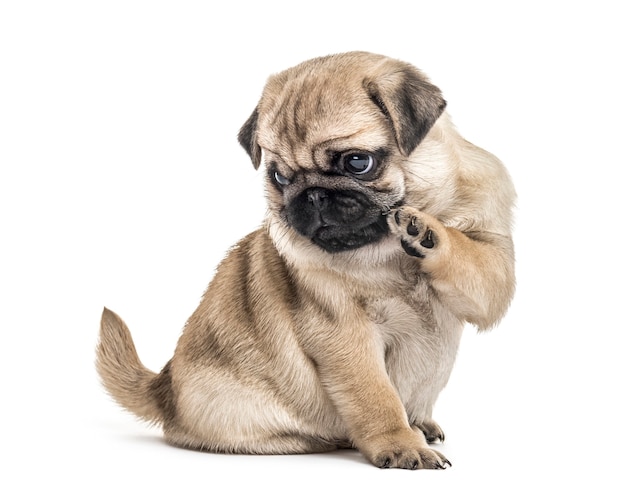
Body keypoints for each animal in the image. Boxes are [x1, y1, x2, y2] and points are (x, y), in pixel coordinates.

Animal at [97, 52, 516, 470]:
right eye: (279, 177)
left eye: (358, 163)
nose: (312, 195)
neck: (383, 254)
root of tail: (163, 386)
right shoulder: (346, 334)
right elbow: (376, 398)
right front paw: (399, 444)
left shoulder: (490, 269)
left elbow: (473, 263)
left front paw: (424, 231)